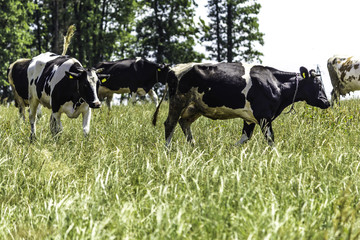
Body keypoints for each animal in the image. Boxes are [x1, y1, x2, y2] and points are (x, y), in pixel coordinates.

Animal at [152, 62, 330, 146]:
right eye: (318, 84)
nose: (326, 102)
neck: (276, 83)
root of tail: (174, 68)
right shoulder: (264, 116)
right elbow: (270, 139)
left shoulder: (250, 118)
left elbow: (245, 137)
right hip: (178, 101)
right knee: (170, 124)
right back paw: (168, 150)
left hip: (194, 107)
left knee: (184, 123)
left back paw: (193, 146)